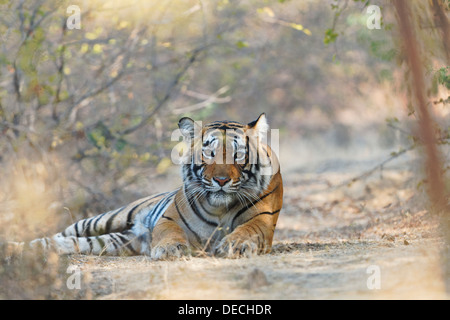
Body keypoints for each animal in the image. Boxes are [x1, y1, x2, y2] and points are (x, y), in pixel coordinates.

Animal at [10, 113, 284, 260]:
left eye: (238, 155)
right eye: (209, 153)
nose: (222, 181)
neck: (221, 208)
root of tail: (137, 232)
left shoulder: (262, 220)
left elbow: (247, 230)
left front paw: (234, 245)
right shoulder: (170, 218)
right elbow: (170, 233)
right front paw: (170, 249)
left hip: (115, 241)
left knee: (63, 243)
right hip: (102, 220)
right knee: (58, 235)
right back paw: (15, 246)